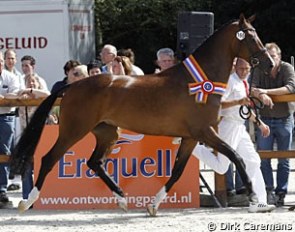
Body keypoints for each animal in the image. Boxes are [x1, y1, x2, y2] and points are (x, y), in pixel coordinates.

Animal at [11, 13, 276, 215]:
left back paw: (122, 199)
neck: (199, 81)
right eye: (250, 36)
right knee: (49, 159)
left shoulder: (192, 136)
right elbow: (236, 157)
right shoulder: (205, 132)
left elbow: (177, 171)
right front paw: (255, 200)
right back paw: (27, 201)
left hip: (107, 132)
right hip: (73, 130)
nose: (270, 64)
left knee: (95, 162)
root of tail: (72, 86)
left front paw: (152, 205)